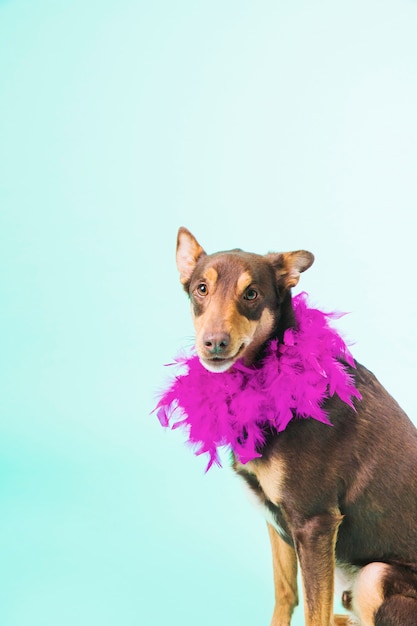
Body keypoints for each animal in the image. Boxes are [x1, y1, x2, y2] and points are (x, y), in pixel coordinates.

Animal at [174, 225, 416, 624]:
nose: (214, 343)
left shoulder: (314, 523)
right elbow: (286, 593)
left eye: (251, 294)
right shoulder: (278, 520)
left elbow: (314, 613)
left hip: (373, 575)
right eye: (201, 289)